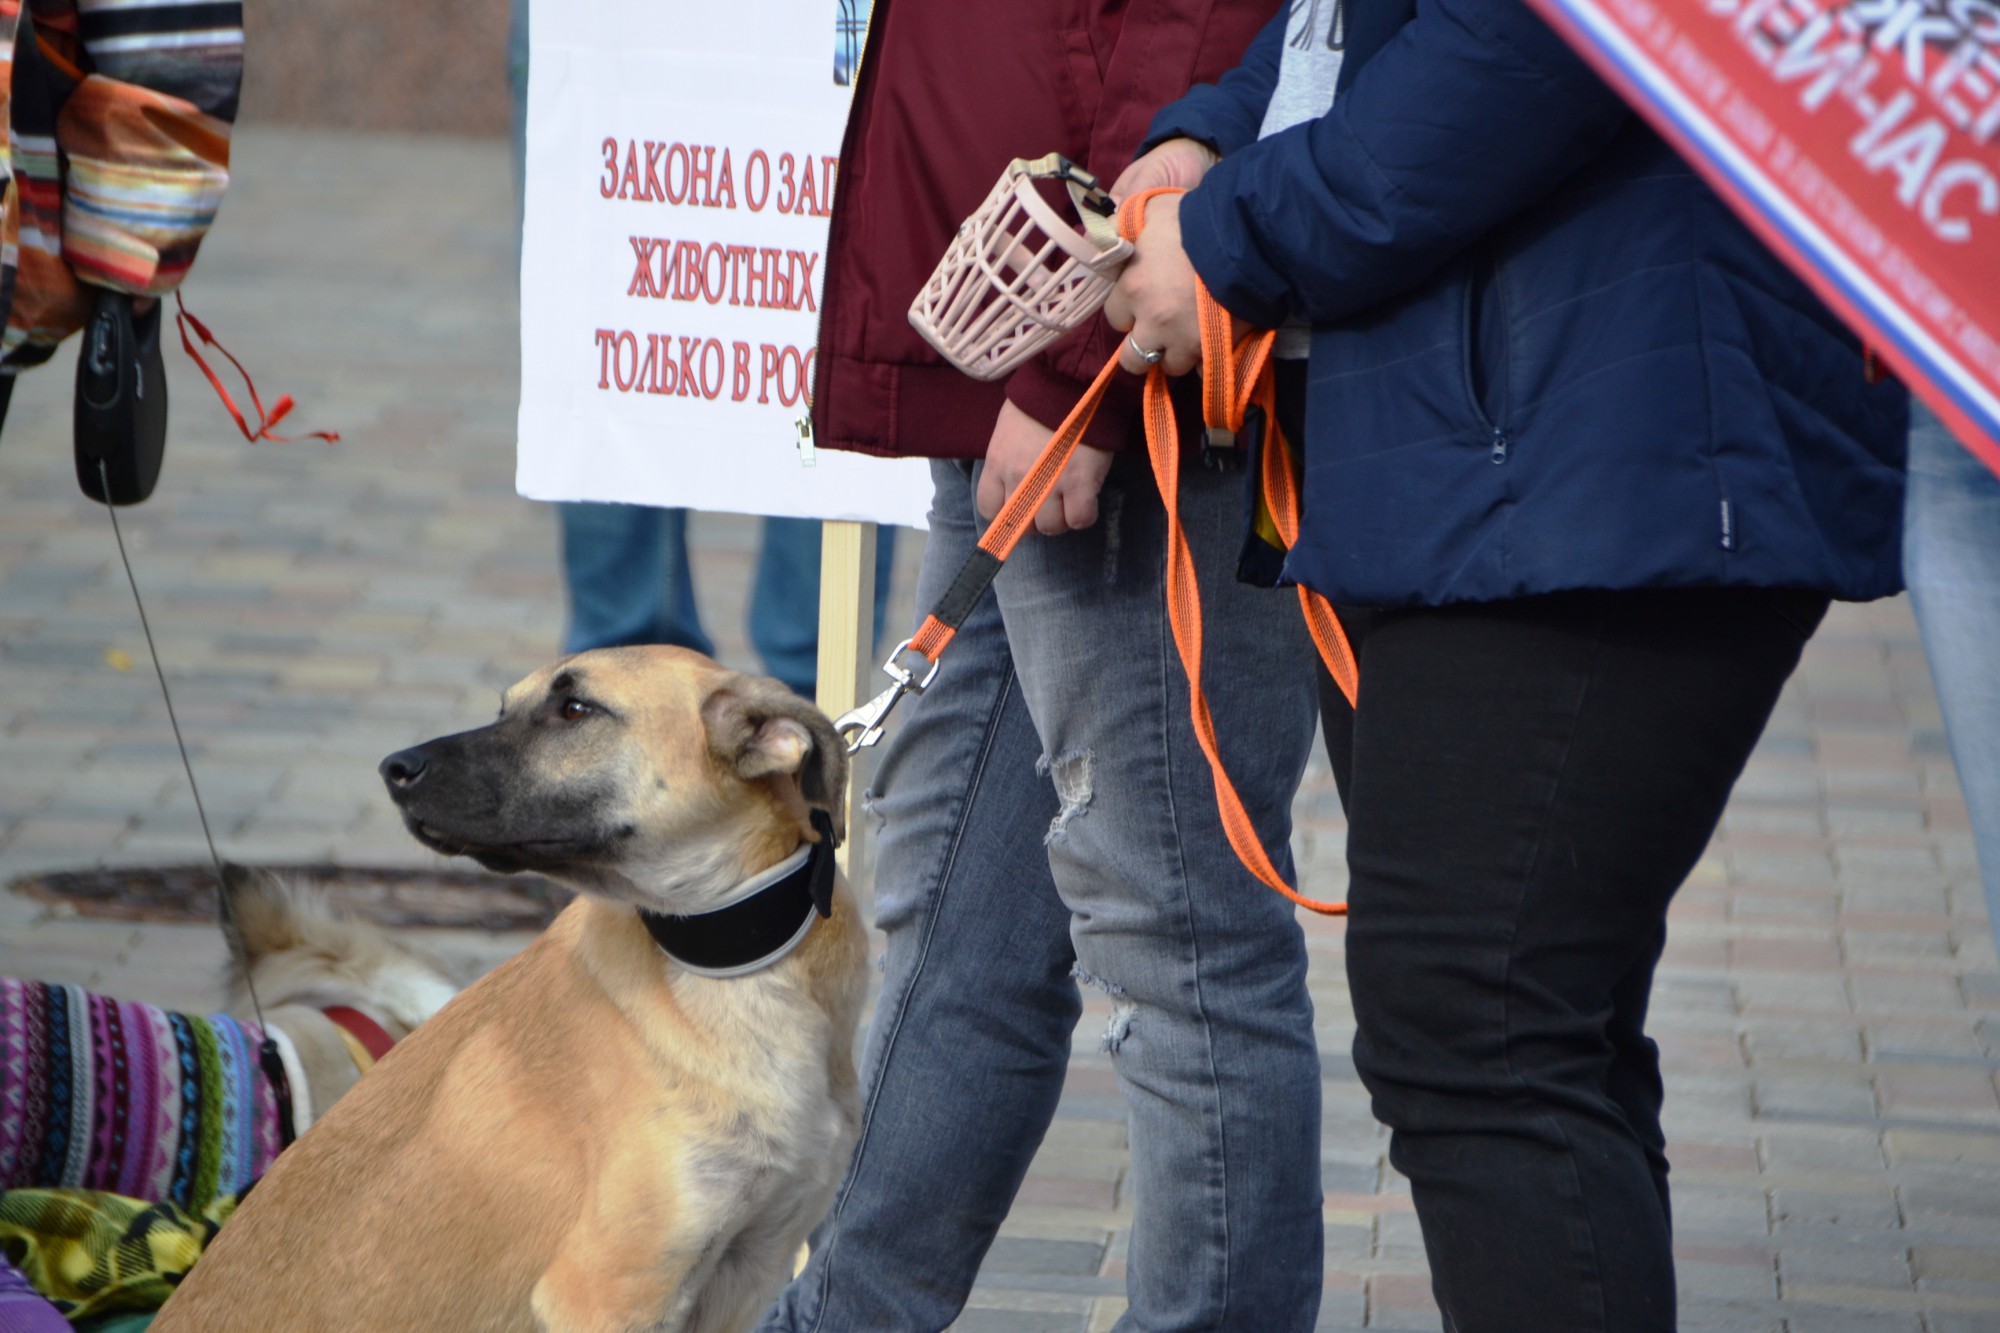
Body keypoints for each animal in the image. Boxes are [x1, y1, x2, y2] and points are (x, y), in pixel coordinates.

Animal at [152, 644, 872, 1328]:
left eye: (575, 710)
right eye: (504, 708)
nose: (393, 768)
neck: (735, 967)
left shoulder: (749, 1266)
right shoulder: (610, 1290)